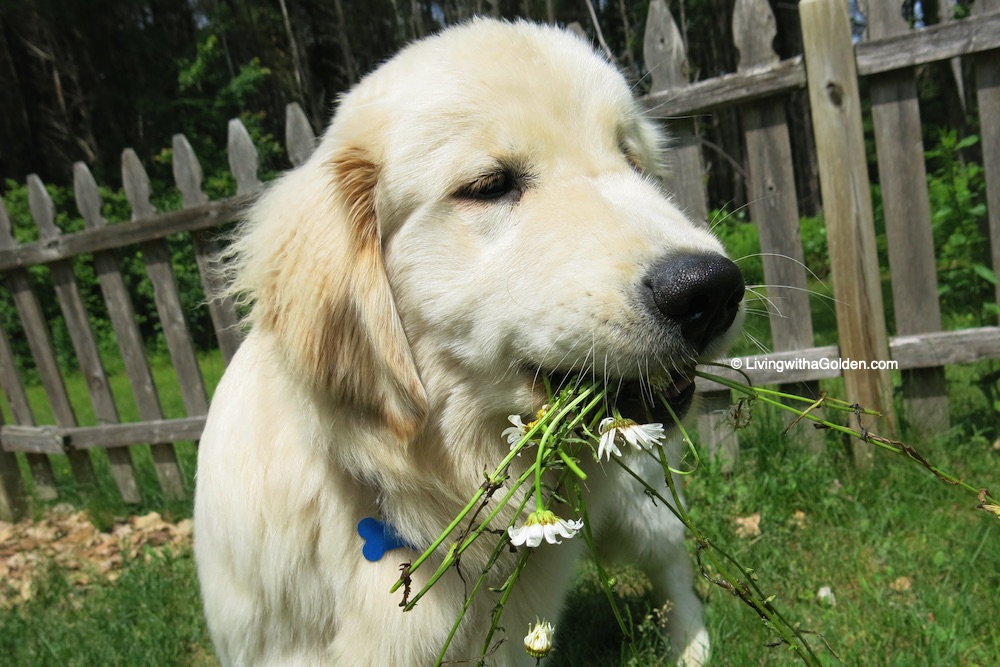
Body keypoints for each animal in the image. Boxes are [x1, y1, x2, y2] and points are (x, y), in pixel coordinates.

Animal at [195, 15, 744, 667]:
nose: (711, 290)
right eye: (489, 185)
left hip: (640, 499)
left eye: (631, 161)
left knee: (672, 563)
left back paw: (690, 644)